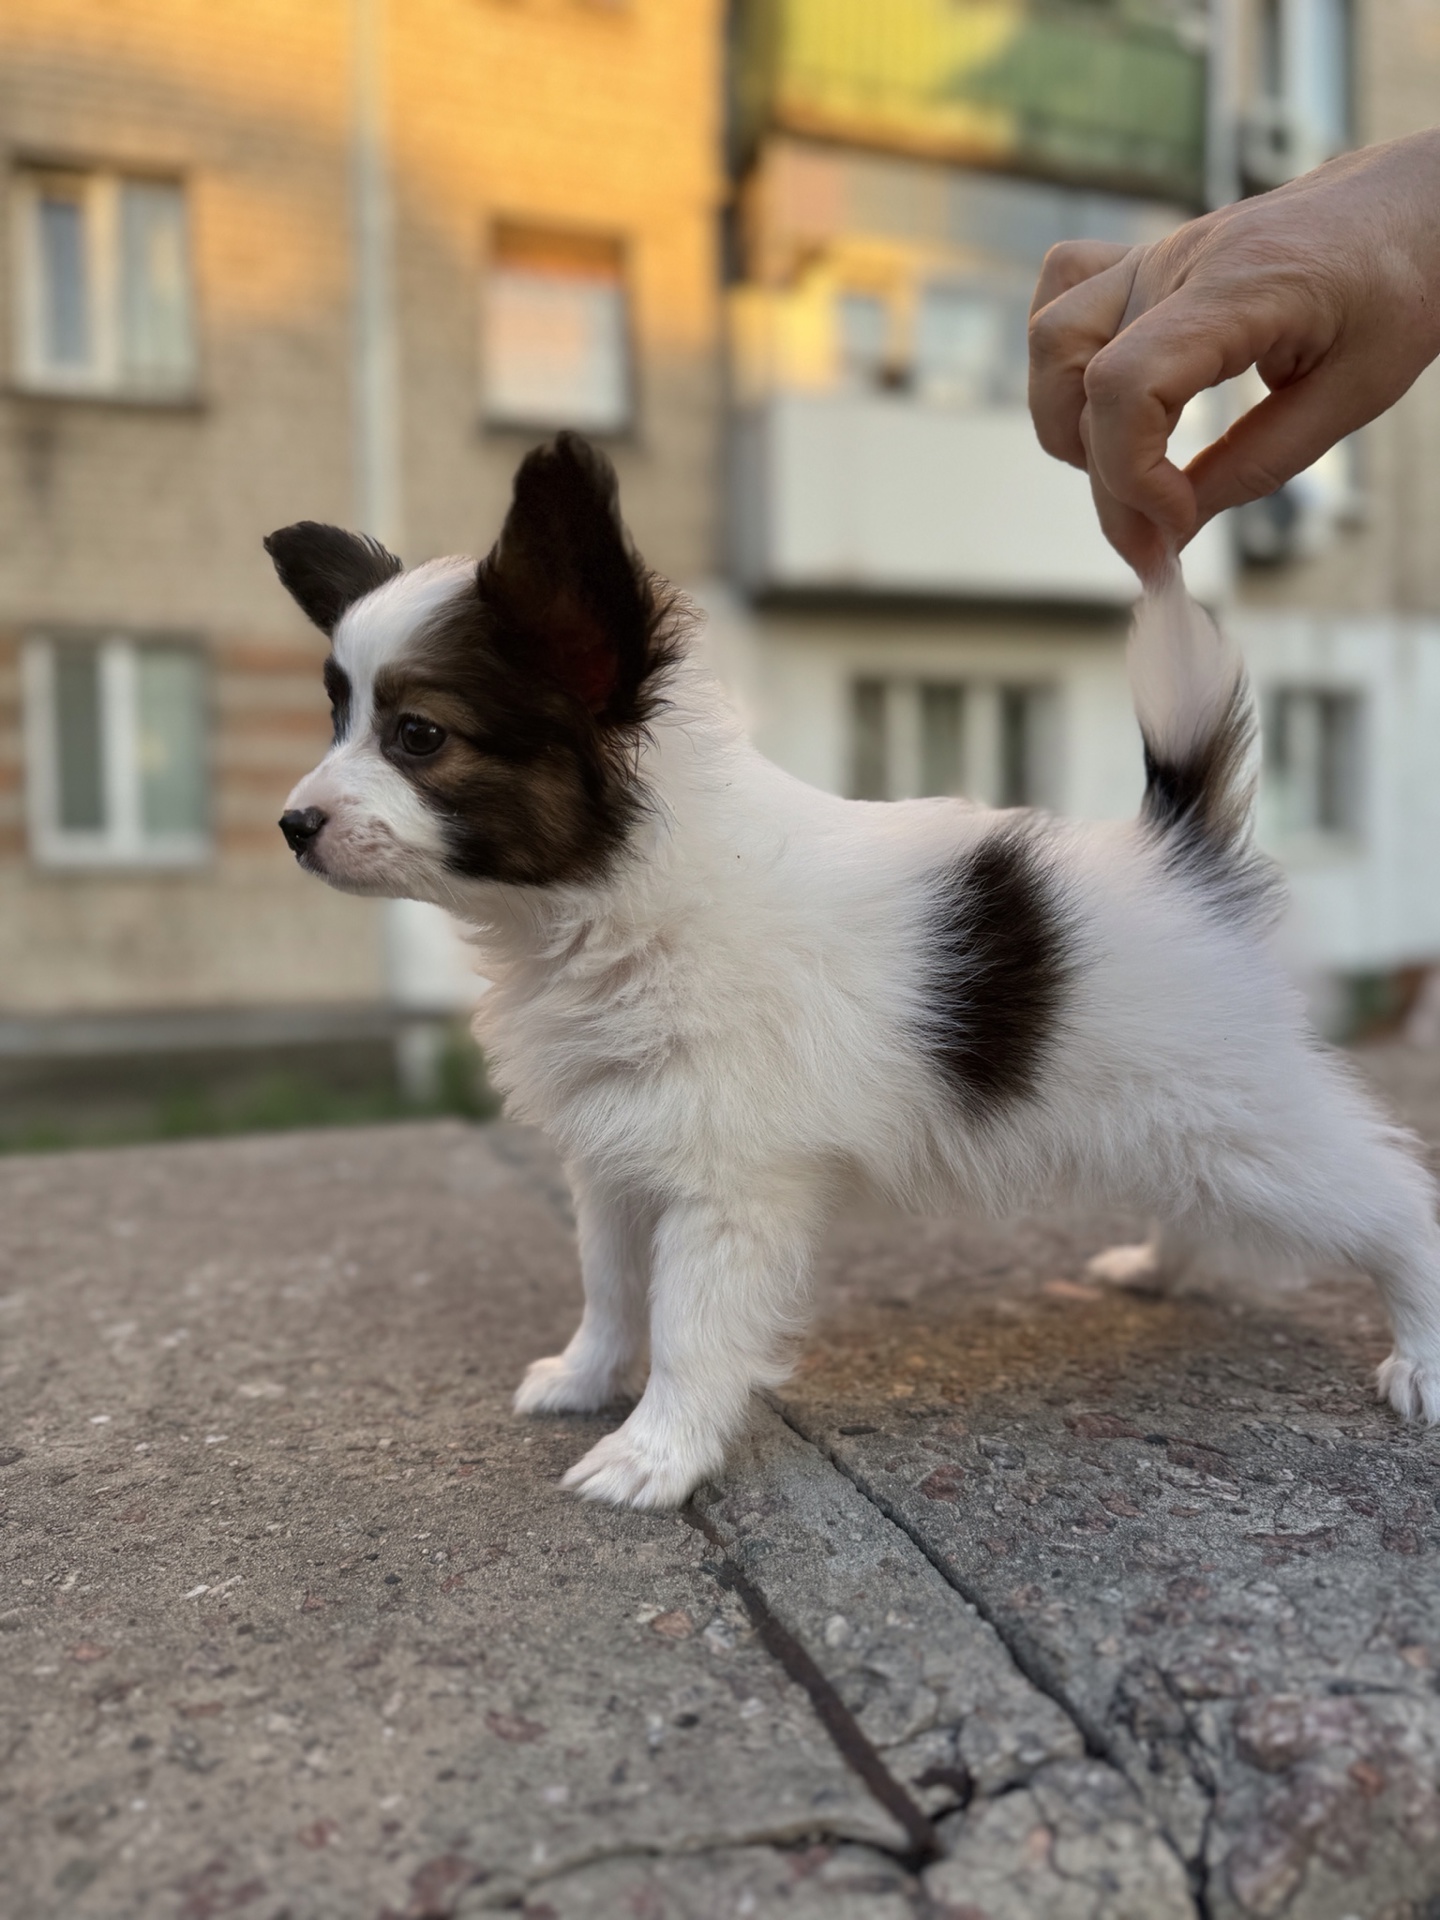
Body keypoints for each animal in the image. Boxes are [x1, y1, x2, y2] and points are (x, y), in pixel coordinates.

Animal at [268, 428, 1440, 1505]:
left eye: (419, 736)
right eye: (337, 716)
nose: (291, 826)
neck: (606, 904)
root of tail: (1181, 854)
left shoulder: (727, 1181)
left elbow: (689, 1322)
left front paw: (656, 1455)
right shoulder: (614, 1155)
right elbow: (610, 1285)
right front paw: (586, 1378)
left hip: (1241, 1121)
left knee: (1390, 1197)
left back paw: (1421, 1351)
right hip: (1176, 1125)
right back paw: (1162, 1268)